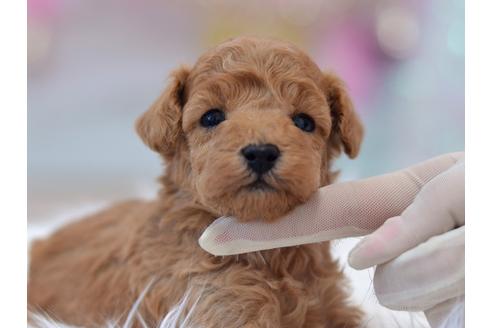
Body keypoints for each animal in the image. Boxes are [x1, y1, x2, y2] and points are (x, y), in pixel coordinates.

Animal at [27, 37, 366, 326]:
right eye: (211, 117)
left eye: (304, 122)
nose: (261, 153)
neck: (264, 245)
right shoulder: (214, 305)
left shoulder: (332, 306)